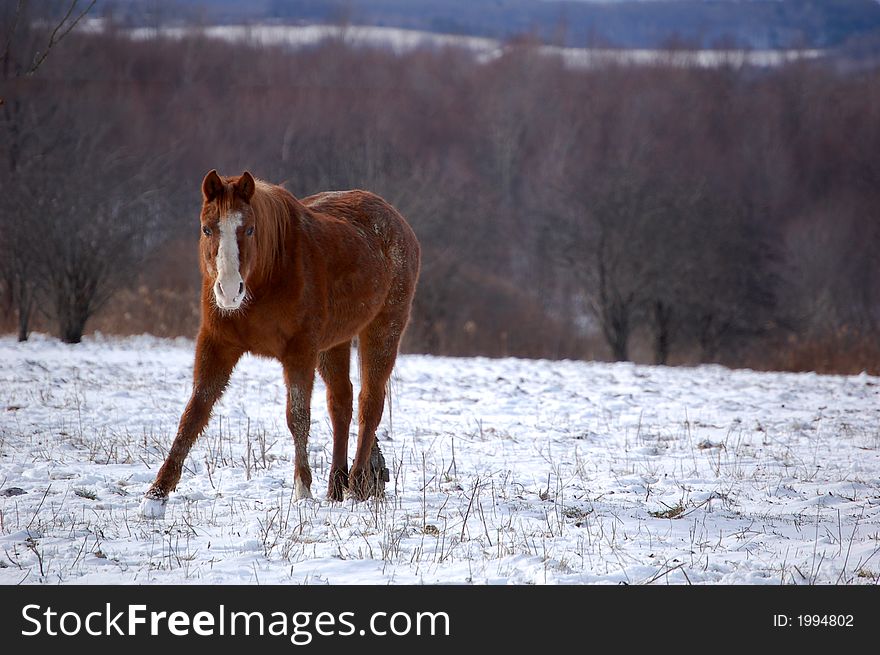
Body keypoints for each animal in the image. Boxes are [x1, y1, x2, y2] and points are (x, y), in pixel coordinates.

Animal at [140, 172, 420, 520]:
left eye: (249, 228)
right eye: (207, 228)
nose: (229, 290)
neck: (268, 275)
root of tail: (396, 221)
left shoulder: (299, 351)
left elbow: (297, 416)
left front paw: (302, 489)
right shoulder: (217, 346)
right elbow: (194, 414)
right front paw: (156, 495)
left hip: (382, 330)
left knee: (370, 403)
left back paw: (355, 485)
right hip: (335, 343)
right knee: (341, 403)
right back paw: (336, 486)